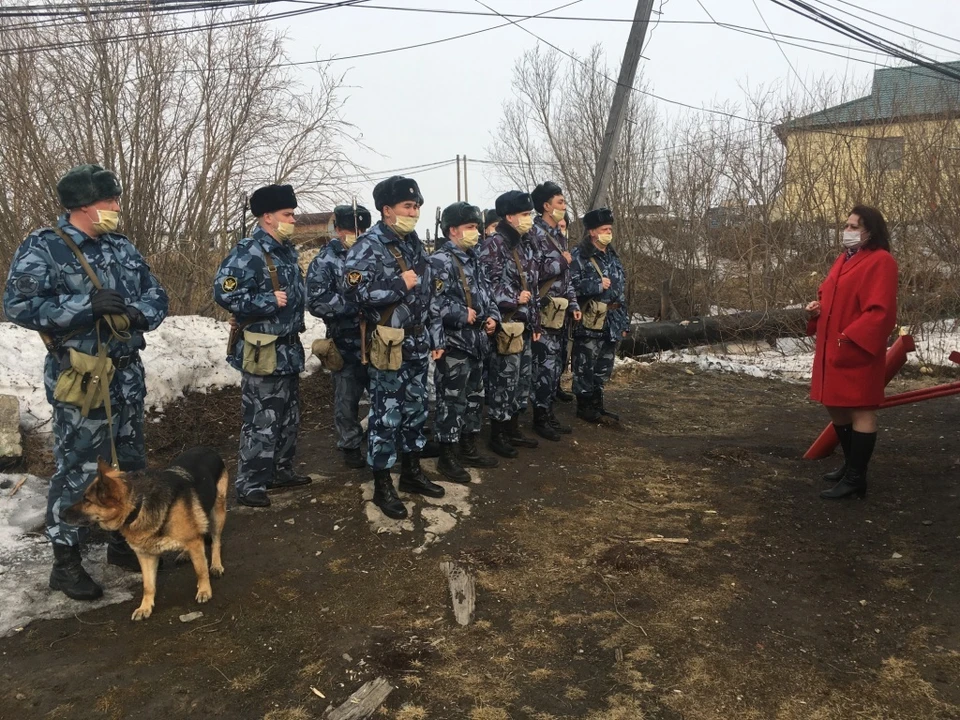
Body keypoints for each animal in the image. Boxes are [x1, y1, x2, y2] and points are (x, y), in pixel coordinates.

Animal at [63, 450, 229, 620]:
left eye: (87, 500)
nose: (61, 514)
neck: (138, 505)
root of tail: (208, 450)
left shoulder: (193, 542)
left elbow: (201, 570)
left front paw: (204, 590)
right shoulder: (145, 555)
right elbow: (148, 585)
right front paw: (145, 607)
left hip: (218, 512)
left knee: (216, 541)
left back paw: (216, 565)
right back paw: (185, 554)